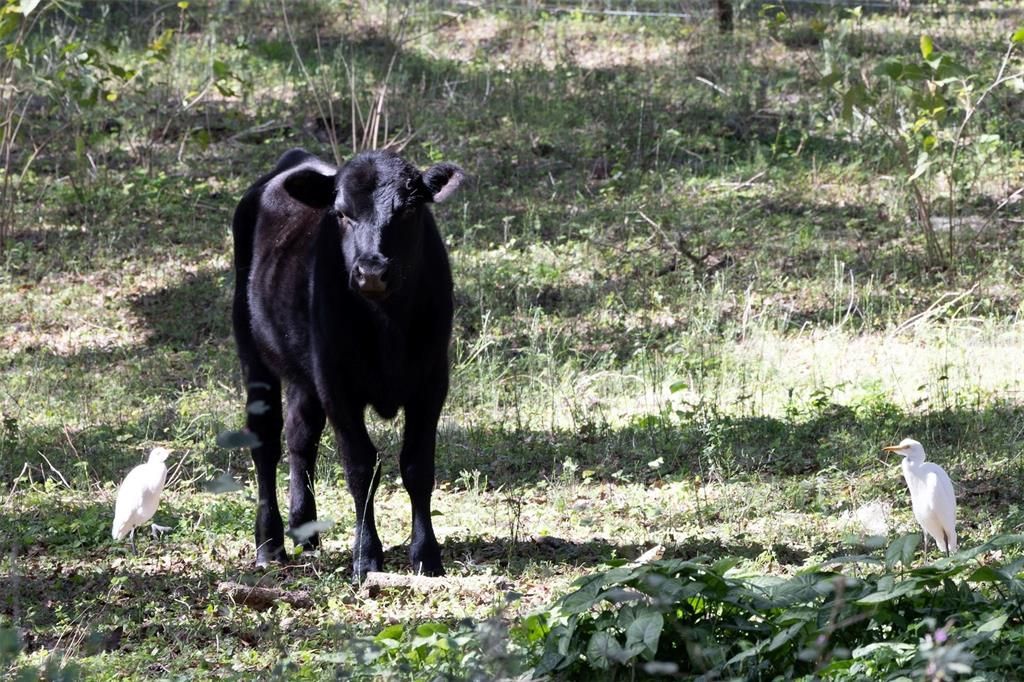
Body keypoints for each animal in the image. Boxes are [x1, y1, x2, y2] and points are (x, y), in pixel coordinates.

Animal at [232, 147, 464, 573]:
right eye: (341, 213)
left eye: (409, 209)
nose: (371, 271)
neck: (387, 325)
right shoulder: (336, 384)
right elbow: (361, 467)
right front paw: (367, 557)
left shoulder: (431, 381)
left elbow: (417, 466)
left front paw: (427, 556)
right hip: (253, 351)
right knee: (266, 443)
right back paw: (269, 545)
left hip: (304, 376)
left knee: (301, 437)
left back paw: (305, 531)